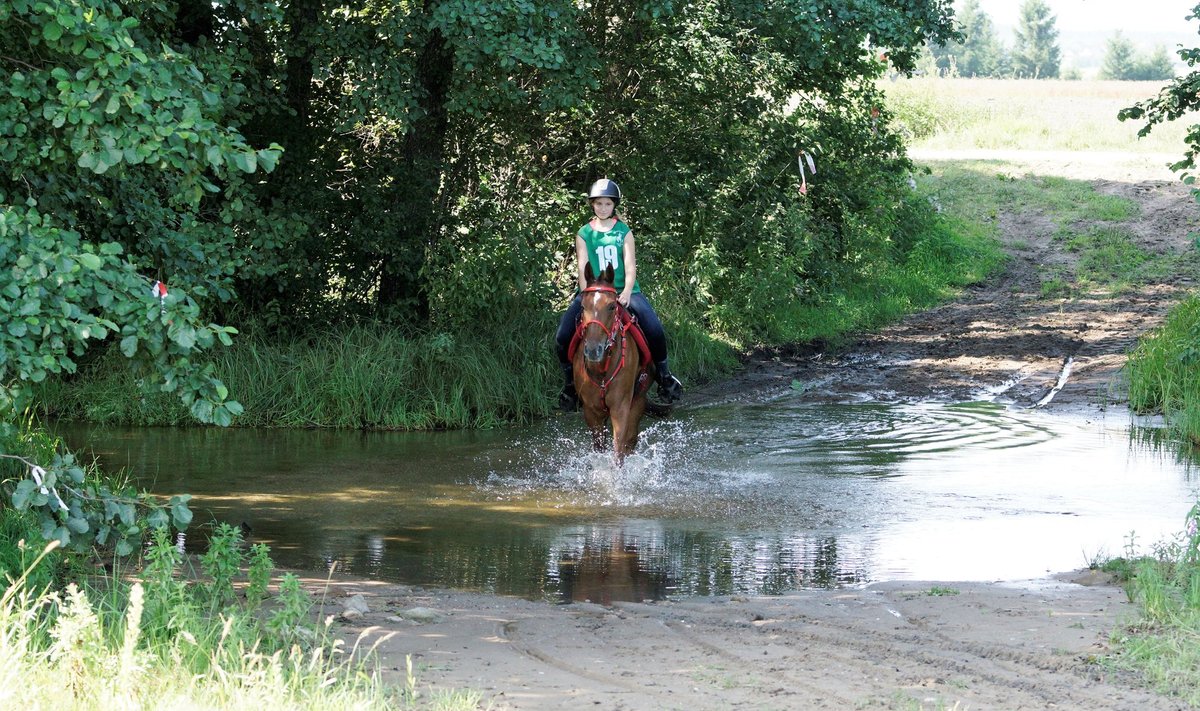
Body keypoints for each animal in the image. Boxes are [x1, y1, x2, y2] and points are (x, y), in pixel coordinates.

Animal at [571, 260, 657, 461]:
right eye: (582, 307)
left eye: (611, 306)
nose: (593, 350)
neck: (602, 369)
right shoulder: (591, 411)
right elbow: (599, 449)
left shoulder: (621, 408)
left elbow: (619, 450)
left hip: (638, 401)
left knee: (630, 441)